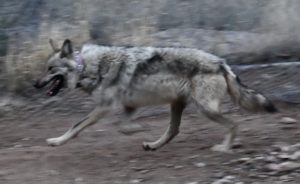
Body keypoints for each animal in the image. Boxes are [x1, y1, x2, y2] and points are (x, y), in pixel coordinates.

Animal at [32, 38, 276, 152]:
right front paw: (134, 129)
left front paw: (57, 141)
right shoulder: (128, 106)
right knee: (173, 131)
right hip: (178, 105)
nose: (35, 84)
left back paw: (224, 148)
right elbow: (122, 125)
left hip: (205, 109)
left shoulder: (105, 107)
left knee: (234, 124)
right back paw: (153, 145)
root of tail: (222, 63)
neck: (88, 66)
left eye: (51, 70)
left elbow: (76, 126)